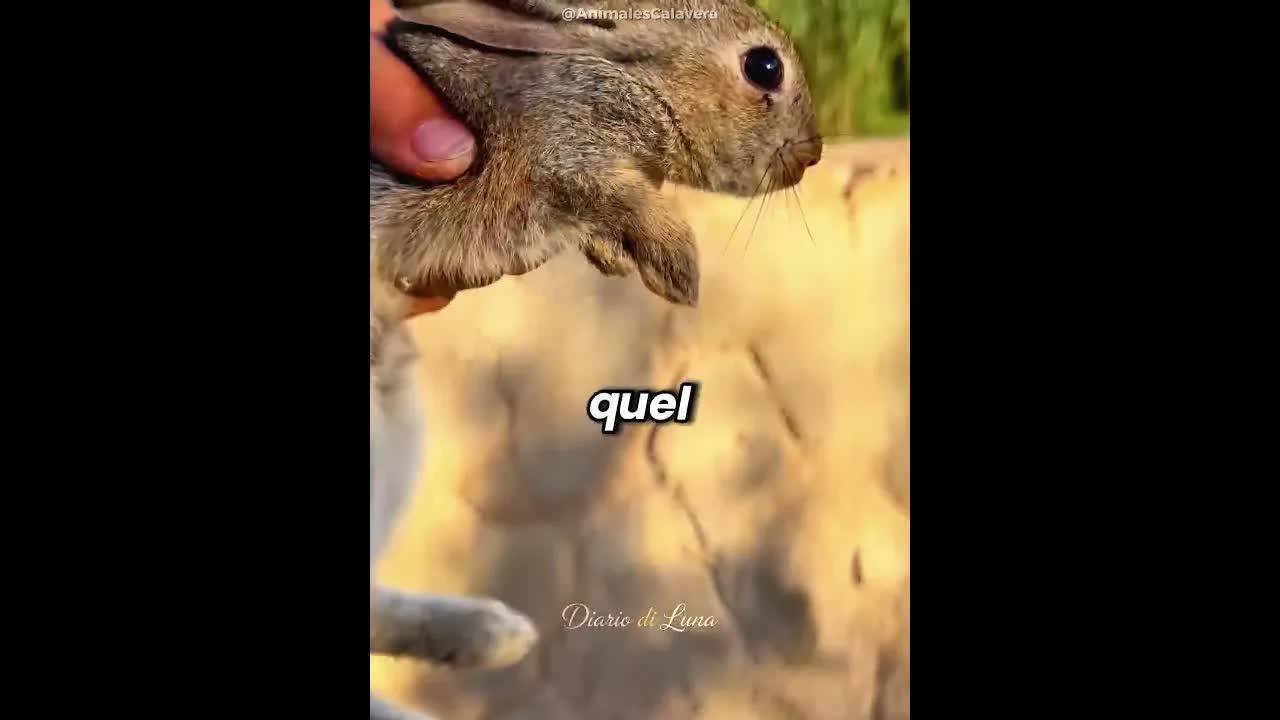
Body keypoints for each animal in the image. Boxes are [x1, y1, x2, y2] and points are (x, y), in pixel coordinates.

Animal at [370, 1, 821, 718]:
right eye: (764, 67)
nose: (811, 153)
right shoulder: (568, 150)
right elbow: (619, 201)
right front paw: (678, 267)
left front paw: (627, 263)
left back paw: (496, 635)